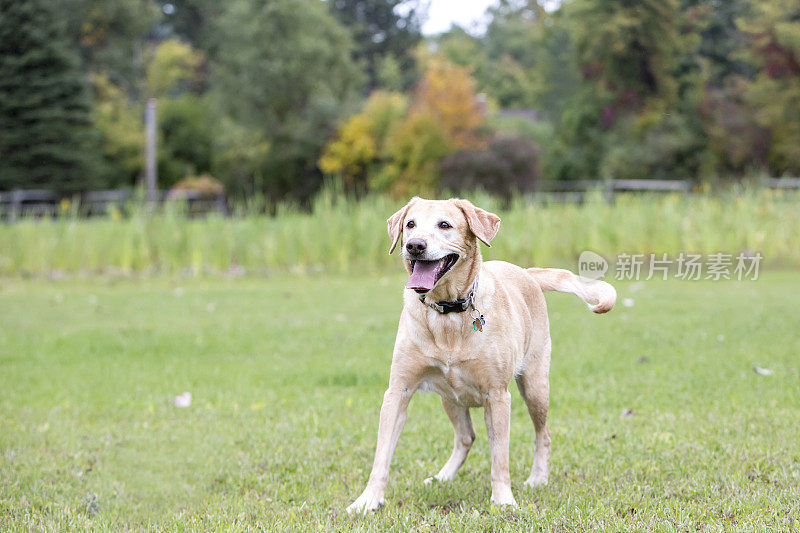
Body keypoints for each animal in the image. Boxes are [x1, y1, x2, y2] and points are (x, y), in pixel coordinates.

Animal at [346, 198, 616, 512]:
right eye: (410, 224)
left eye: (445, 225)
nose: (414, 245)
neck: (447, 313)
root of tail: (526, 272)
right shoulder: (398, 391)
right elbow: (381, 456)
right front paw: (367, 500)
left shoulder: (497, 395)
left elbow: (500, 457)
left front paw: (504, 500)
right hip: (449, 397)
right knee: (466, 437)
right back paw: (442, 477)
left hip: (535, 386)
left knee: (543, 434)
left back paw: (538, 478)